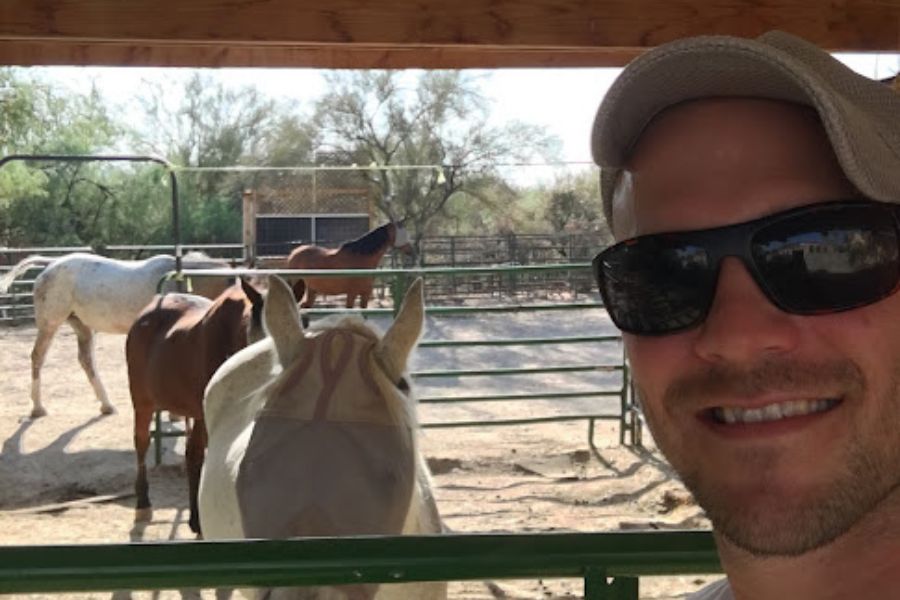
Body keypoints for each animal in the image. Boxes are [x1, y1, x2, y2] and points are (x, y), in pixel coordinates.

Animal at [0, 250, 232, 418]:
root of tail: (51, 264)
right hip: (50, 324)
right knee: (38, 357)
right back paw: (38, 408)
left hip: (82, 326)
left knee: (86, 360)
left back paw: (106, 405)